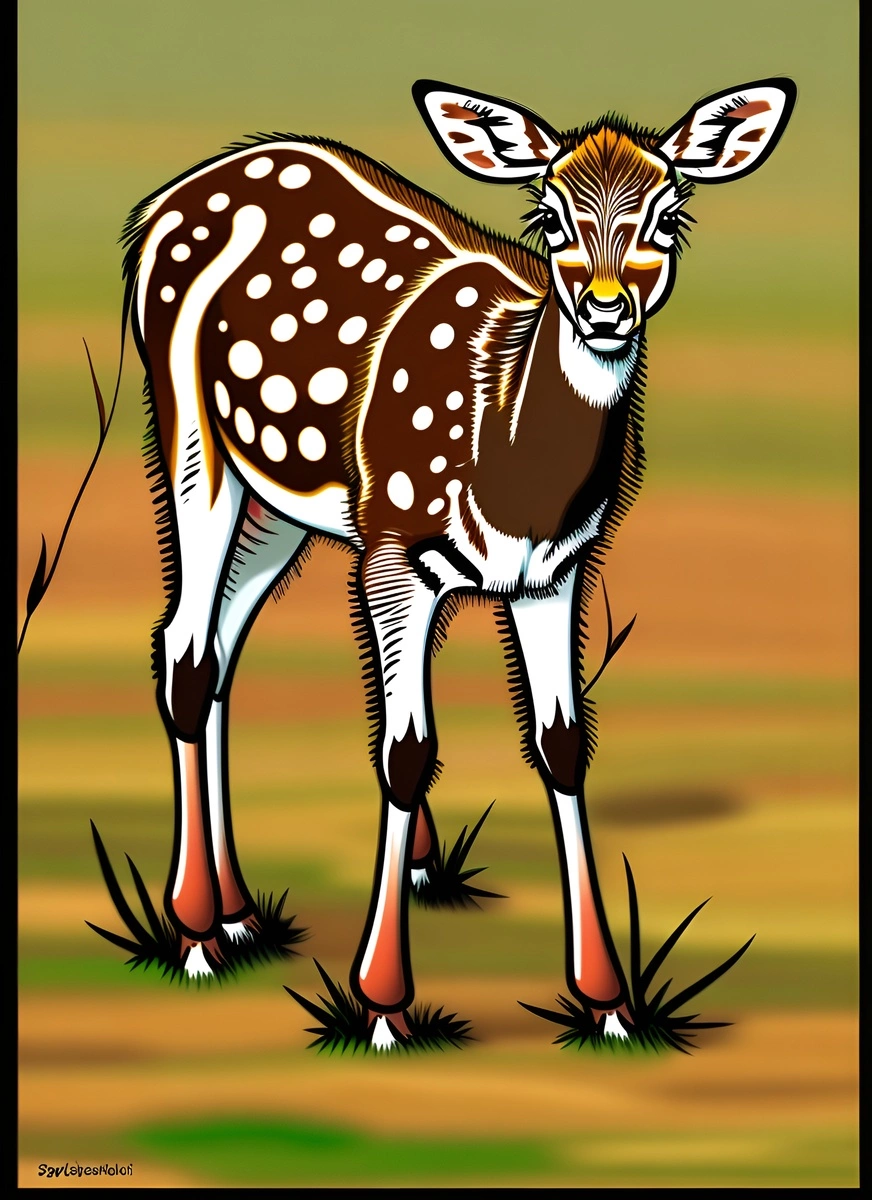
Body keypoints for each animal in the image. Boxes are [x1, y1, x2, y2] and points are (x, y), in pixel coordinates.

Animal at [107, 77, 794, 1052]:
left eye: (668, 215)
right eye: (551, 213)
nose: (606, 308)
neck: (511, 469)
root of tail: (169, 197)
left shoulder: (558, 572)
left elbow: (562, 745)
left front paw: (609, 1000)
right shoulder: (392, 552)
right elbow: (405, 751)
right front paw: (383, 1003)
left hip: (289, 500)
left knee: (222, 641)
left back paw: (239, 911)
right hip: (188, 424)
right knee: (185, 645)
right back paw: (197, 928)